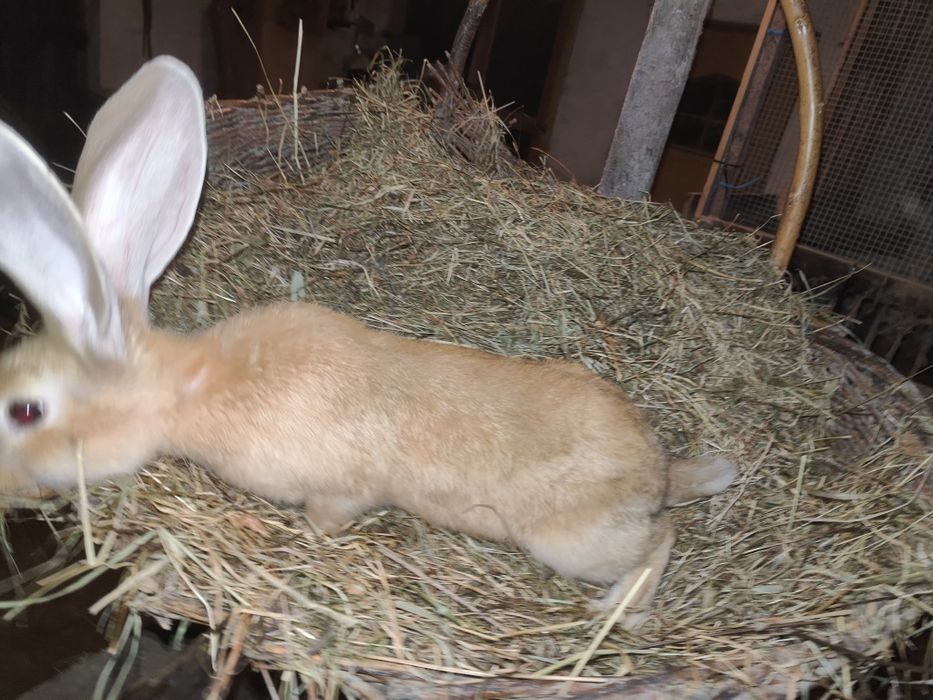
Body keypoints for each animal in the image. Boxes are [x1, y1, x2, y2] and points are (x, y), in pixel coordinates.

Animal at [0, 56, 737, 628]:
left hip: (572, 542)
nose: (8, 485)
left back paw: (617, 610)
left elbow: (331, 513)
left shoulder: (336, 490)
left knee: (659, 540)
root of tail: (659, 472)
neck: (189, 385)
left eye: (25, 410)